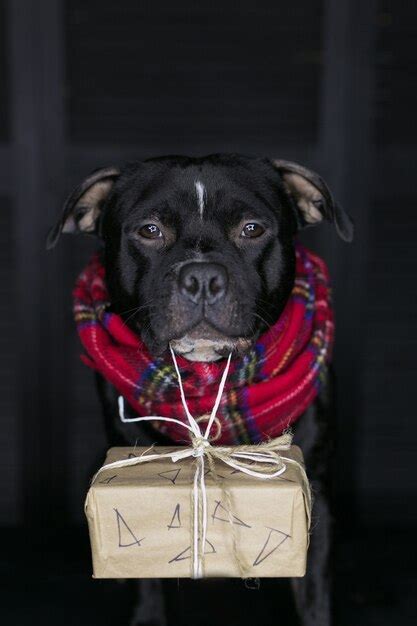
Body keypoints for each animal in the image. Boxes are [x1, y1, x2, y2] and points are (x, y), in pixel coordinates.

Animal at [50, 152, 352, 624]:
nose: (203, 276)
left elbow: (314, 595)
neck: (209, 389)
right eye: (150, 230)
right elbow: (146, 582)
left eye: (252, 229)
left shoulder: (315, 492)